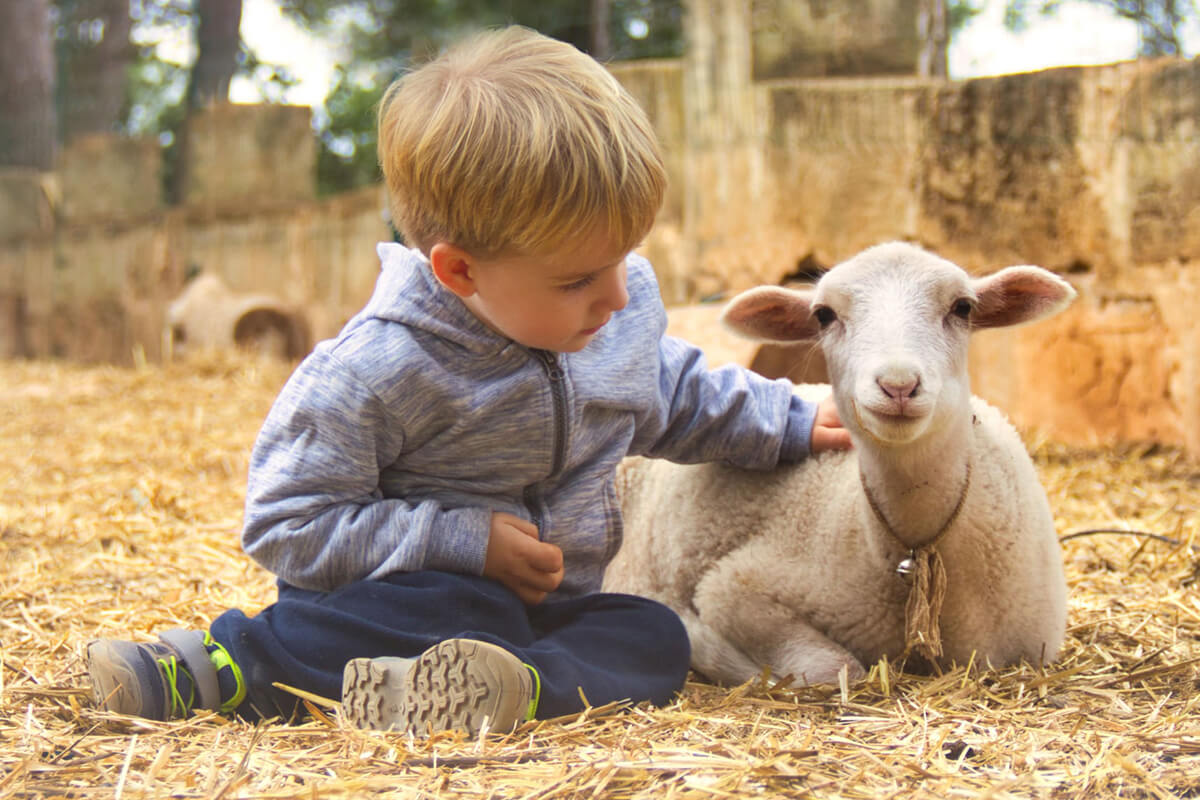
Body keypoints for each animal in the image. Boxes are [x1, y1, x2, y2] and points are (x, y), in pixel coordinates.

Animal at [604, 241, 1075, 686]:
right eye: (824, 315)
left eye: (962, 307)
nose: (898, 385)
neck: (913, 542)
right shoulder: (735, 586)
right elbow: (836, 668)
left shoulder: (1031, 643)